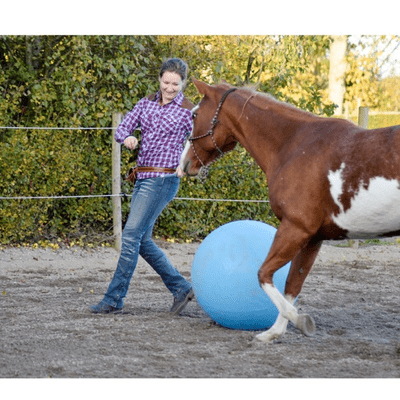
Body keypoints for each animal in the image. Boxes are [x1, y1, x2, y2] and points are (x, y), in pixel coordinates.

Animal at [180, 79, 400, 344]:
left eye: (194, 114)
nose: (184, 164)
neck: (294, 145)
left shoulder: (295, 229)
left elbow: (264, 274)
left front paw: (300, 321)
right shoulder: (313, 238)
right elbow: (292, 284)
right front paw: (274, 332)